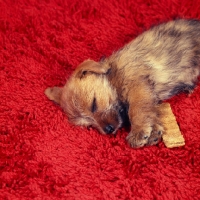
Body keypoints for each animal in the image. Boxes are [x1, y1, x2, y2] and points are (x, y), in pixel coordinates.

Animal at [45, 19, 200, 148]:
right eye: (89, 125)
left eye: (93, 104)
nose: (108, 130)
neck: (113, 77)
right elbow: (150, 111)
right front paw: (154, 131)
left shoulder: (137, 86)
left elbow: (137, 109)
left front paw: (138, 131)